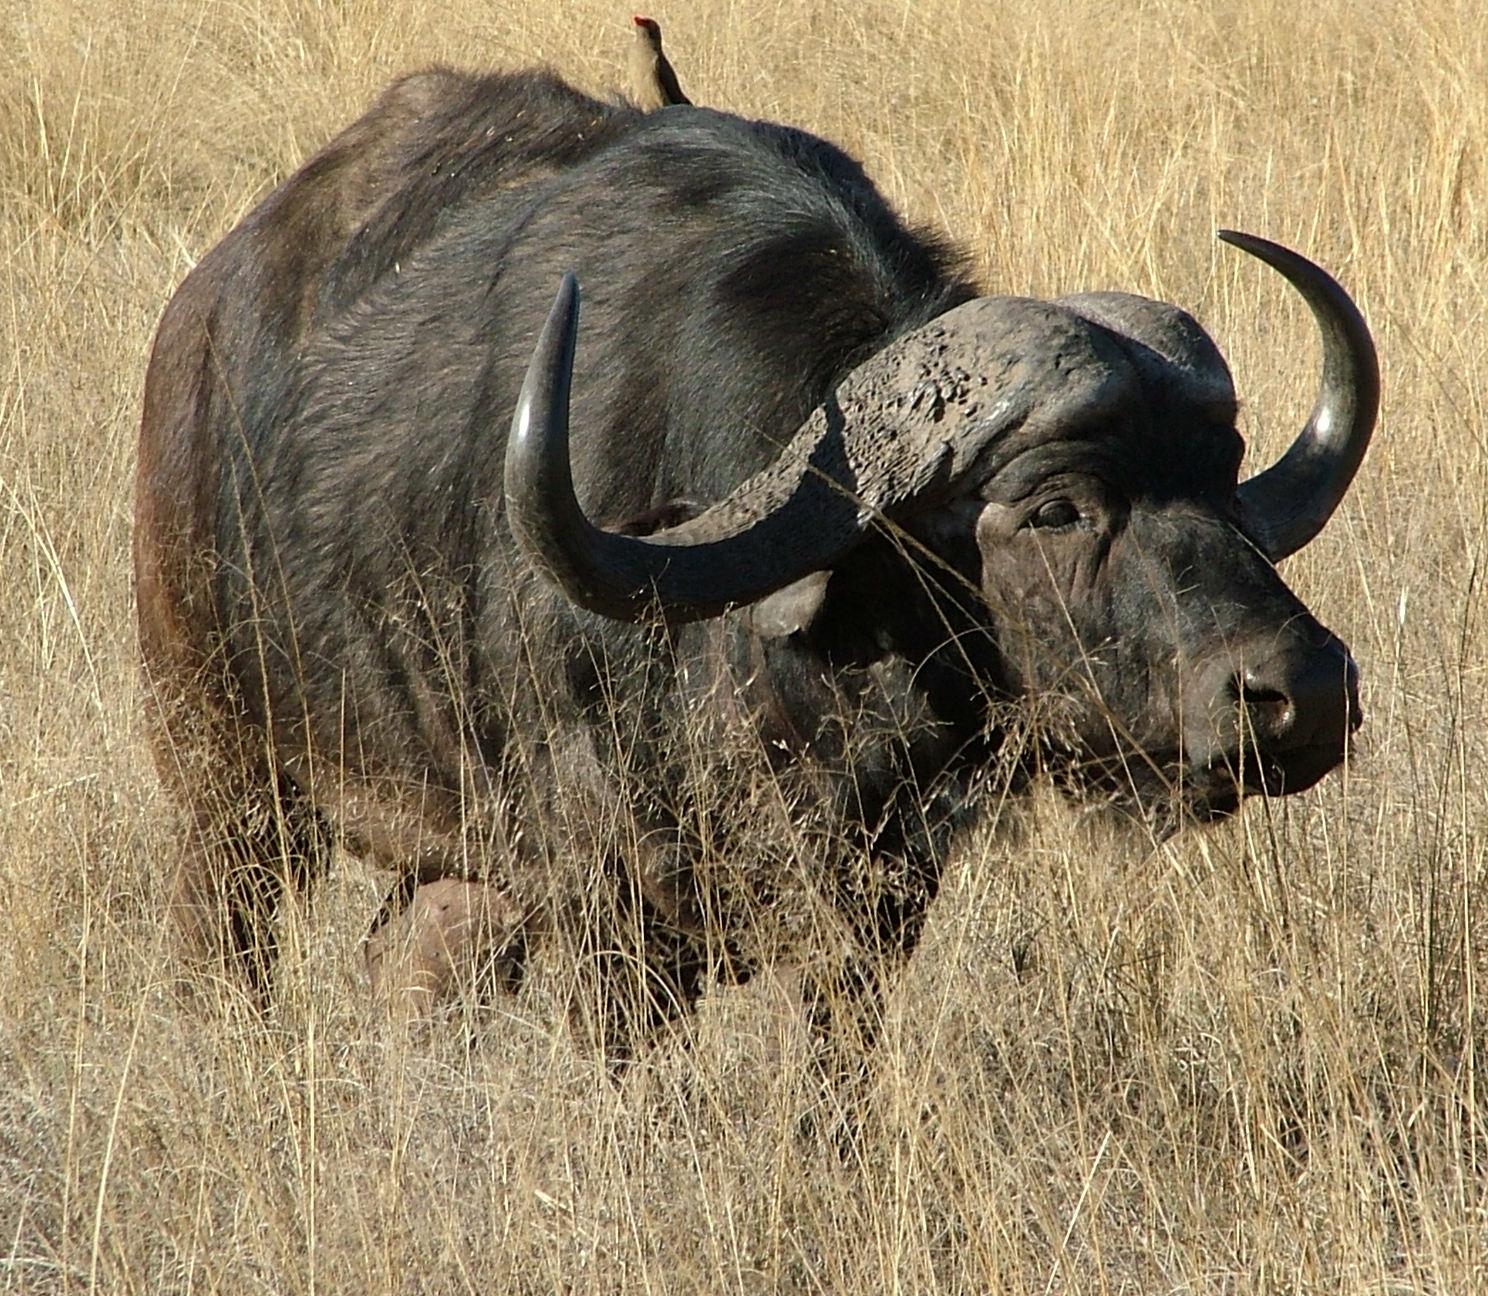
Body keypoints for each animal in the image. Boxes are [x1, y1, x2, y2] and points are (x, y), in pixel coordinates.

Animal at [133, 65, 1374, 1071]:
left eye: (1224, 474)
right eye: (1057, 508)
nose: (1302, 693)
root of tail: (198, 316)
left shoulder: (868, 915)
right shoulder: (613, 916)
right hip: (220, 776)